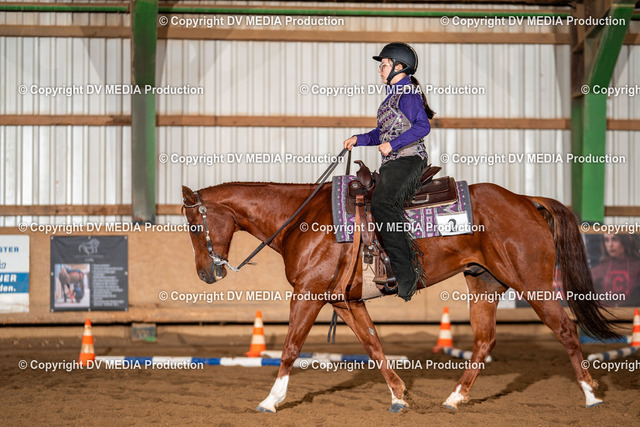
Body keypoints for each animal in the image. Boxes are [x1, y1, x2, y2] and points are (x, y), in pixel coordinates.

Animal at [181, 178, 618, 413]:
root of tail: (527, 201)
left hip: (533, 282)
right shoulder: (347, 301)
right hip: (484, 283)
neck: (302, 220)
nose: (205, 274)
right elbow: (373, 345)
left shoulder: (307, 295)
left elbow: (290, 348)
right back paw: (454, 399)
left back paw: (590, 396)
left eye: (193, 224)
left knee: (565, 330)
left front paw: (271, 400)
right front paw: (398, 396)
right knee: (483, 341)